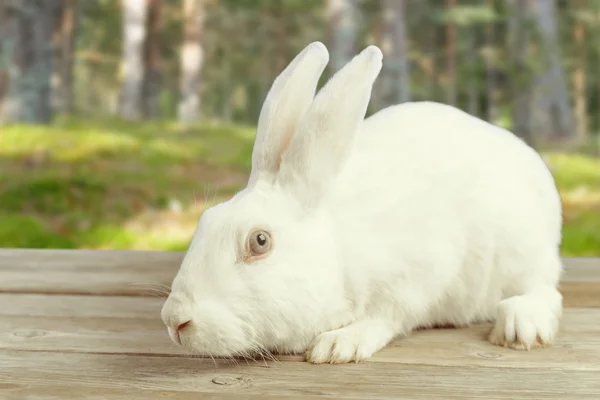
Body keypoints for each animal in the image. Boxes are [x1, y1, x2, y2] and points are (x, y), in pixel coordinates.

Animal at [161, 42, 564, 364]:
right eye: (205, 219)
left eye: (260, 241)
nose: (174, 320)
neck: (339, 248)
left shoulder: (420, 273)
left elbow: (388, 316)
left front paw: (338, 345)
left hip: (521, 252)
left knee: (546, 290)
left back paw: (520, 324)